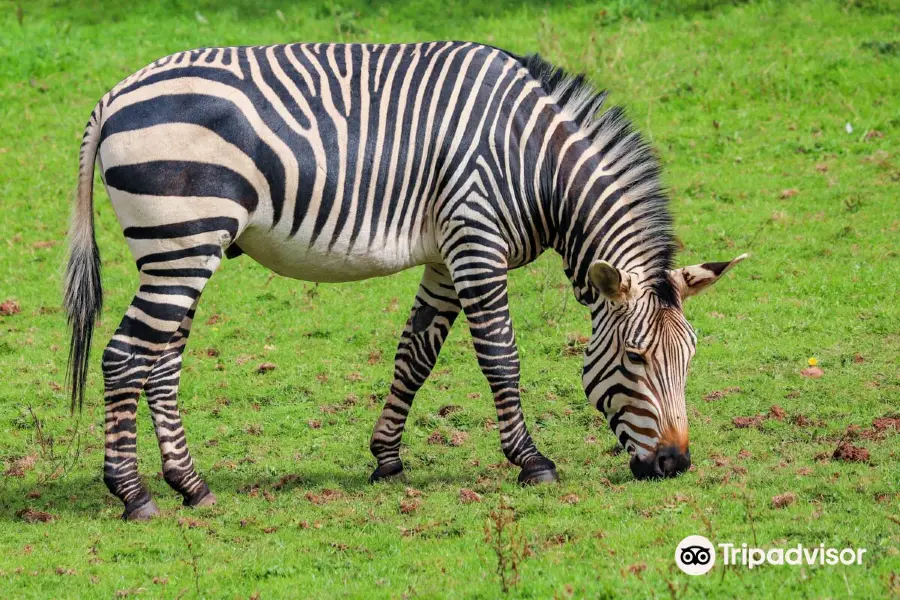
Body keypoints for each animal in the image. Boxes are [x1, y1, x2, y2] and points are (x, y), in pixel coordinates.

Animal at [65, 42, 744, 520]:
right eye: (634, 358)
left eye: (689, 358)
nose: (676, 464)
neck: (535, 163)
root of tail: (111, 97)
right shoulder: (476, 241)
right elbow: (501, 357)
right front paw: (531, 462)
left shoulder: (446, 255)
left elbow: (414, 356)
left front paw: (387, 459)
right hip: (181, 241)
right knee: (125, 357)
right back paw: (133, 495)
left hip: (186, 249)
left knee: (160, 363)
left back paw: (191, 485)